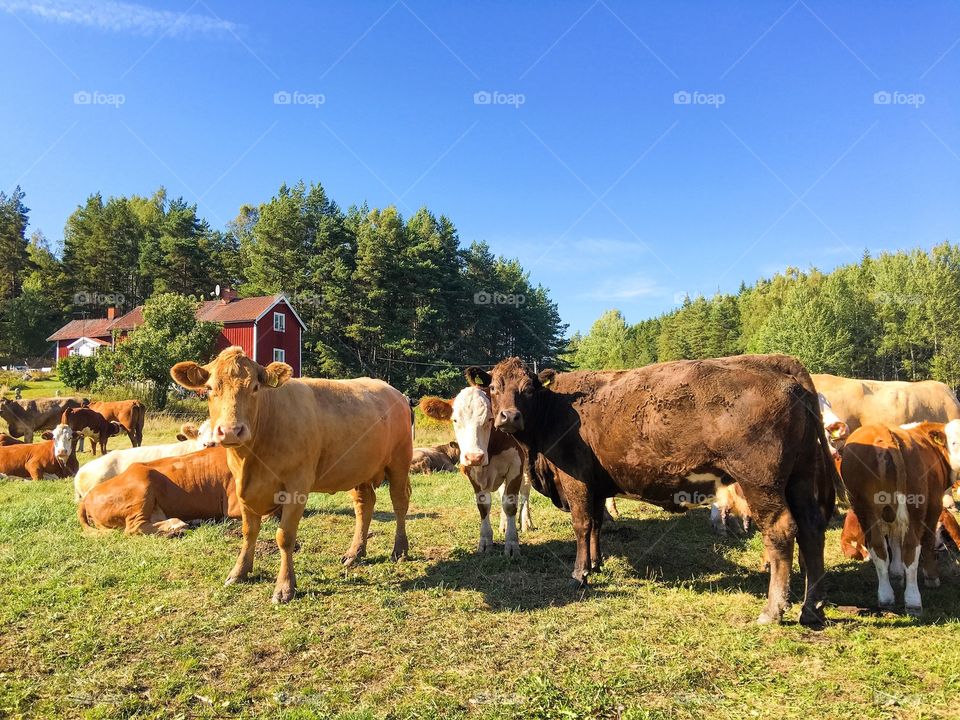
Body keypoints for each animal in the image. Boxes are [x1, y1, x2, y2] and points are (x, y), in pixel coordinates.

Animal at [171, 346, 410, 604]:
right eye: (209, 389)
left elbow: (284, 537)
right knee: (364, 505)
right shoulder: (243, 488)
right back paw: (355, 552)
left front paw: (285, 587)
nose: (231, 430)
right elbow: (248, 532)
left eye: (255, 387)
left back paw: (399, 550)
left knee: (399, 503)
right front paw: (239, 571)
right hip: (358, 468)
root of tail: (393, 391)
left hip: (400, 461)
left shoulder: (297, 487)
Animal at [420, 388, 536, 556]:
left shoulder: (516, 466)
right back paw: (504, 525)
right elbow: (483, 506)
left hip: (527, 468)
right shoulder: (471, 472)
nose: (475, 457)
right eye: (455, 420)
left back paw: (526, 522)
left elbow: (510, 504)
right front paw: (486, 541)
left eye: (490, 419)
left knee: (525, 492)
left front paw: (512, 543)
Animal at [472, 358, 840, 628]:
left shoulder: (576, 481)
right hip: (800, 478)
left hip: (761, 483)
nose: (509, 417)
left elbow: (581, 524)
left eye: (528, 389)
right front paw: (595, 563)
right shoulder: (596, 484)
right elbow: (596, 524)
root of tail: (780, 369)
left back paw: (773, 610)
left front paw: (579, 574)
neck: (557, 409)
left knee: (781, 531)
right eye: (494, 387)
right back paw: (812, 608)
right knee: (811, 530)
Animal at [840, 420, 960, 616]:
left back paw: (885, 596)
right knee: (911, 549)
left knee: (878, 548)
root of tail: (883, 433)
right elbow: (926, 542)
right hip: (915, 508)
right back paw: (913, 600)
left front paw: (896, 574)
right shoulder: (934, 505)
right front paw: (931, 577)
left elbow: (894, 541)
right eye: (955, 442)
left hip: (865, 510)